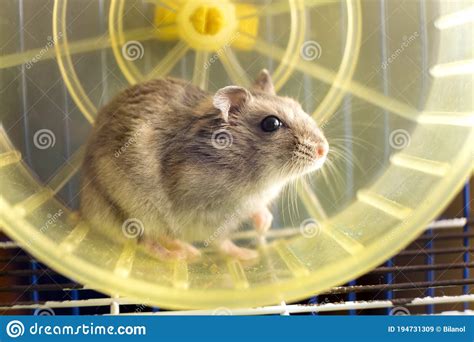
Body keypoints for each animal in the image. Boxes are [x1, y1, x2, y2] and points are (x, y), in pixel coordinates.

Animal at [79, 71, 328, 260]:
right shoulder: (208, 215)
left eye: (299, 107)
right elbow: (221, 241)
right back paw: (183, 255)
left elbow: (257, 211)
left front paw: (264, 225)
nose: (323, 150)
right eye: (271, 123)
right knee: (145, 240)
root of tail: (85, 212)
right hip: (131, 209)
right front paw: (249, 256)